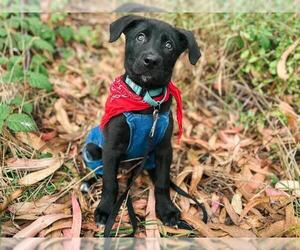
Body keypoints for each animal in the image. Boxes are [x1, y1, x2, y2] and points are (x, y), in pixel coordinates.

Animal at [81, 15, 199, 227]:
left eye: (169, 45)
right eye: (140, 37)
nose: (151, 60)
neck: (146, 101)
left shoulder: (163, 150)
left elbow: (162, 183)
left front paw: (167, 209)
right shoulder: (111, 148)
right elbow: (110, 183)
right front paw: (105, 209)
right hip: (93, 148)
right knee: (100, 170)